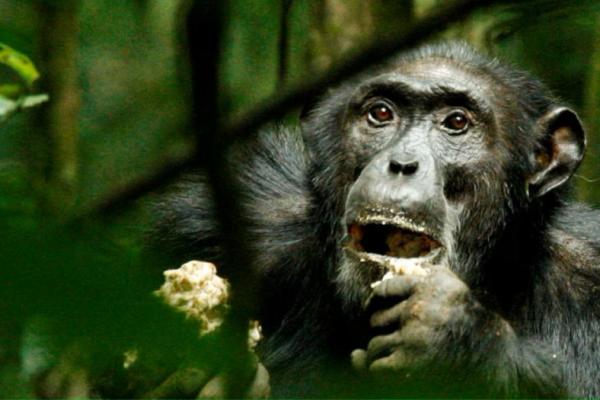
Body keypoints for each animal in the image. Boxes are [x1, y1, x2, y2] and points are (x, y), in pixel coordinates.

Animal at [154, 42, 600, 398]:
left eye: (456, 122)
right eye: (381, 113)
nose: (402, 163)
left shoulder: (590, 281)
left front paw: (455, 334)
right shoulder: (219, 224)